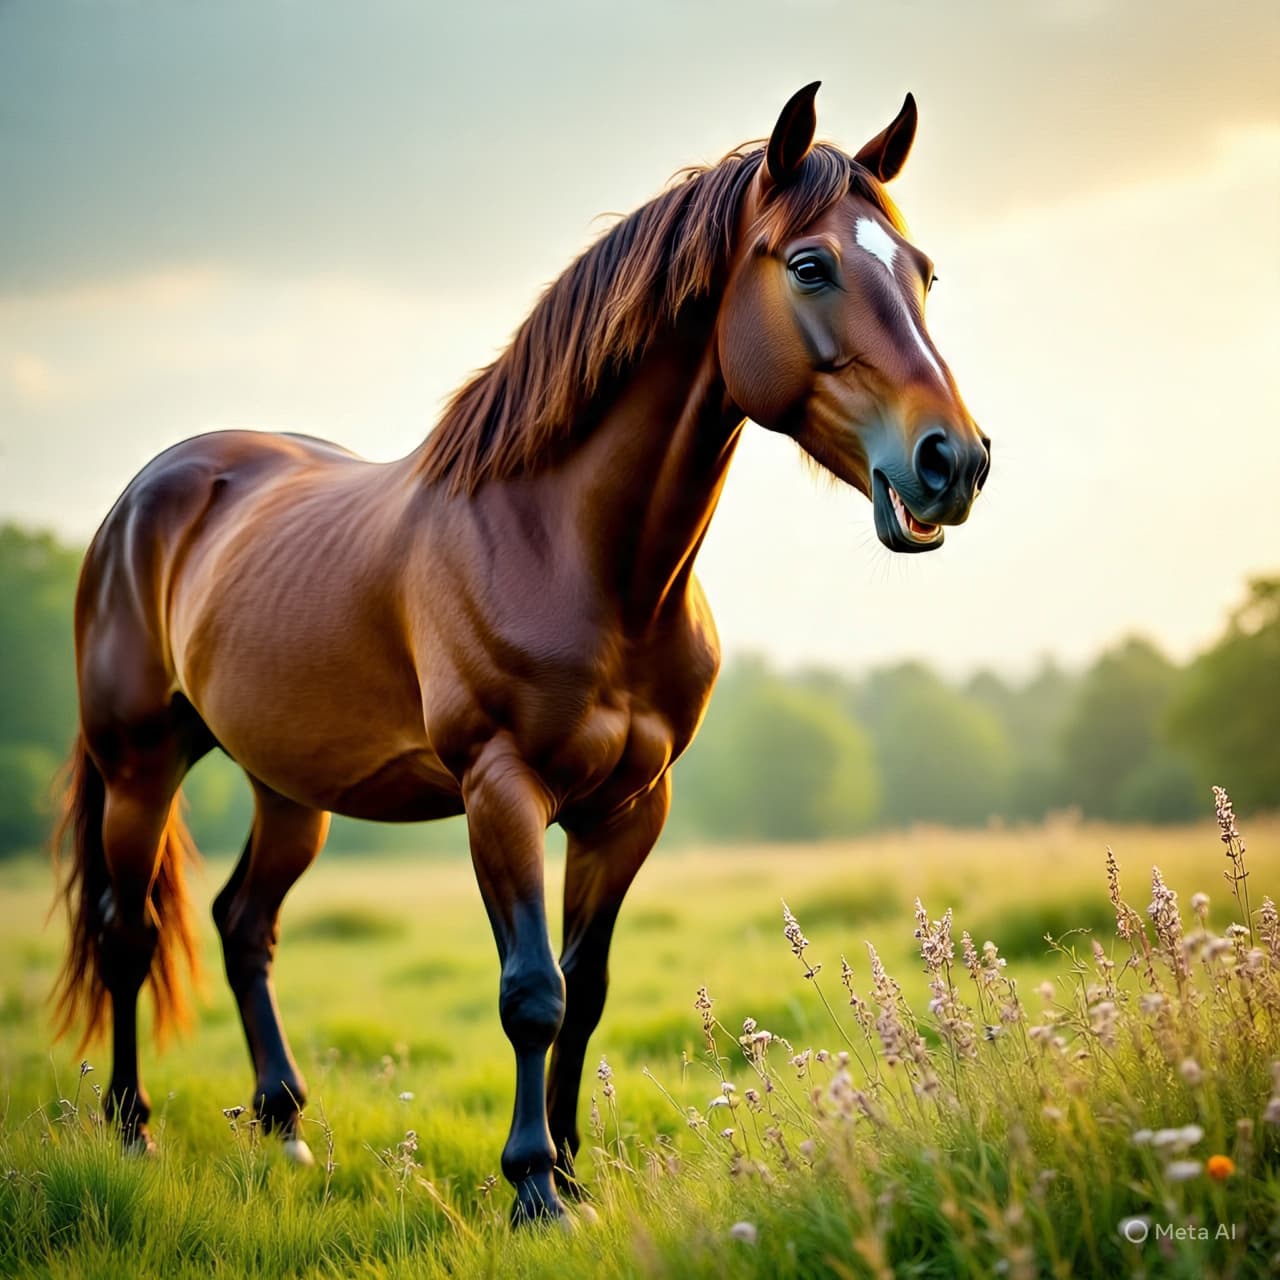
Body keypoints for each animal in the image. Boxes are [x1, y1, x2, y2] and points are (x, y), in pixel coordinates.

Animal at [51, 83, 990, 1223]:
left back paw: (286, 1130)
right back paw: (131, 1129)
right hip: (139, 765)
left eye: (921, 272)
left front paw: (577, 1173)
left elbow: (585, 990)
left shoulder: (629, 807)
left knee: (243, 925)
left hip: (289, 787)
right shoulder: (501, 790)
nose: (953, 460)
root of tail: (150, 492)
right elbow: (532, 992)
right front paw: (533, 1185)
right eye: (810, 266)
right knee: (127, 931)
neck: (573, 553)